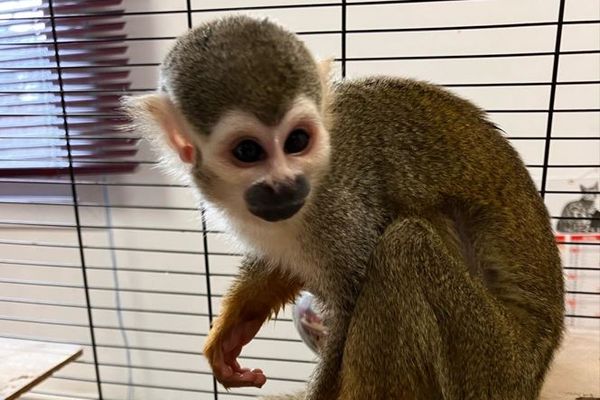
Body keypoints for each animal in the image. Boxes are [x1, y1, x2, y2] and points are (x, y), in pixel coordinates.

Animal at [124, 15, 564, 400]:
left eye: (297, 141)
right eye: (247, 151)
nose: (286, 184)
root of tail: (540, 369)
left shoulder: (344, 203)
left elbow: (349, 302)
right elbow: (278, 266)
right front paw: (232, 330)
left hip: (495, 366)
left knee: (403, 248)